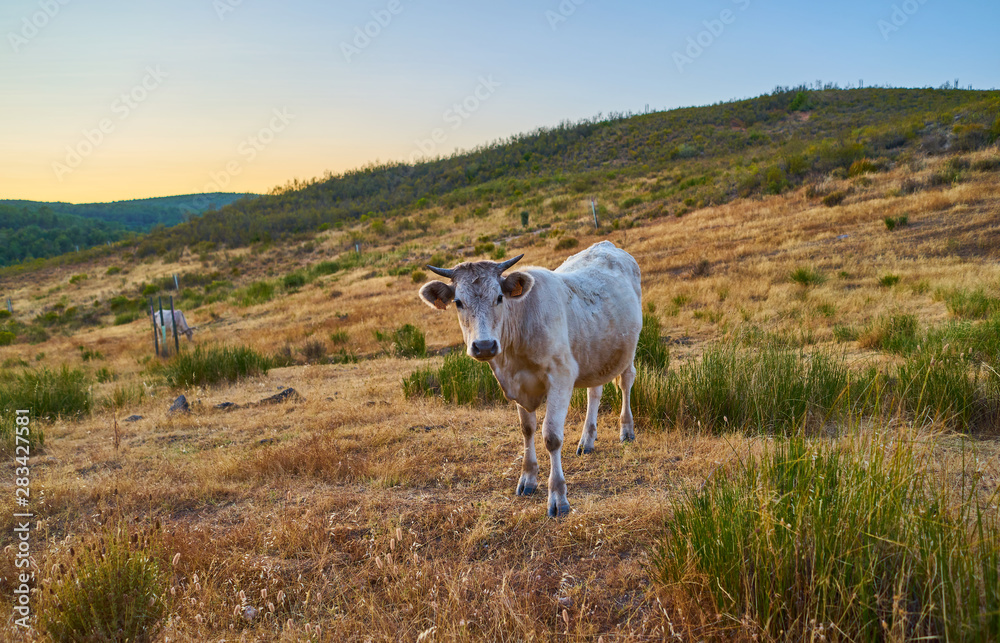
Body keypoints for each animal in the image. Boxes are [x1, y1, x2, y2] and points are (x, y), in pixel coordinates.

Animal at [418, 240, 642, 517]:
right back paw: (587, 440)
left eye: (499, 297)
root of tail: (607, 245)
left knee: (626, 382)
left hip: (629, 349)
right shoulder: (517, 384)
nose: (484, 346)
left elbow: (551, 436)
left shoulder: (561, 376)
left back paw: (626, 430)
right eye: (459, 302)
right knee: (595, 391)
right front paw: (528, 479)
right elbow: (527, 430)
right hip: (596, 354)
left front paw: (557, 496)